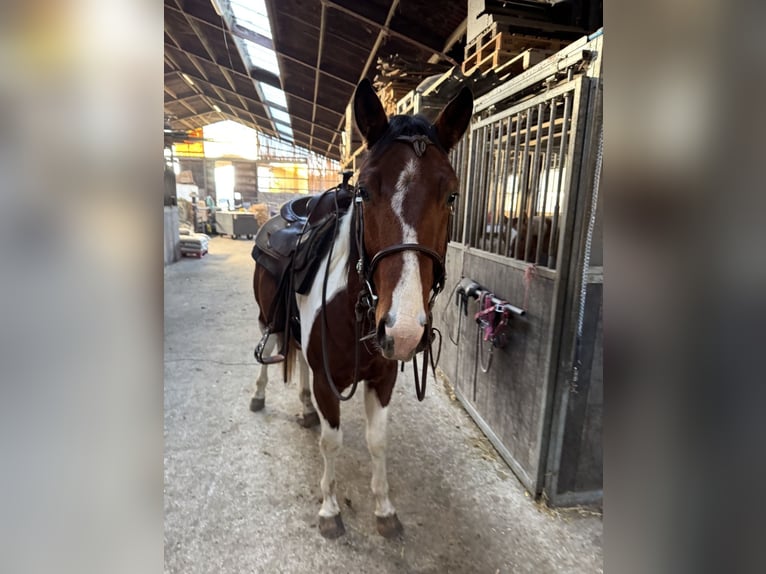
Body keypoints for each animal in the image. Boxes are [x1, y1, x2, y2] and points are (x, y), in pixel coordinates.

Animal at [250, 78, 473, 539]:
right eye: (365, 190)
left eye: (451, 194)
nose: (402, 330)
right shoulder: (328, 382)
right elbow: (331, 441)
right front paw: (329, 510)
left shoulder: (382, 378)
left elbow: (377, 441)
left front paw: (385, 510)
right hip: (268, 319)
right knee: (268, 355)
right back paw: (259, 397)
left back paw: (304, 409)